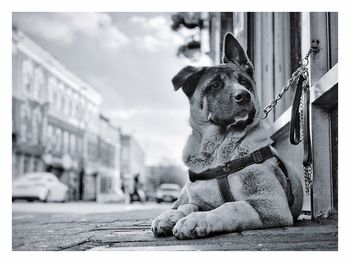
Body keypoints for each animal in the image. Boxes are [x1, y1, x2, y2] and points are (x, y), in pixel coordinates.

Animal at [151, 32, 304, 240]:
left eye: (245, 82)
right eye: (215, 85)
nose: (244, 95)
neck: (219, 152)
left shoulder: (270, 204)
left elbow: (231, 207)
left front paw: (197, 220)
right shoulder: (200, 200)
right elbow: (189, 206)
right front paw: (176, 216)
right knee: (180, 203)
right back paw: (167, 215)